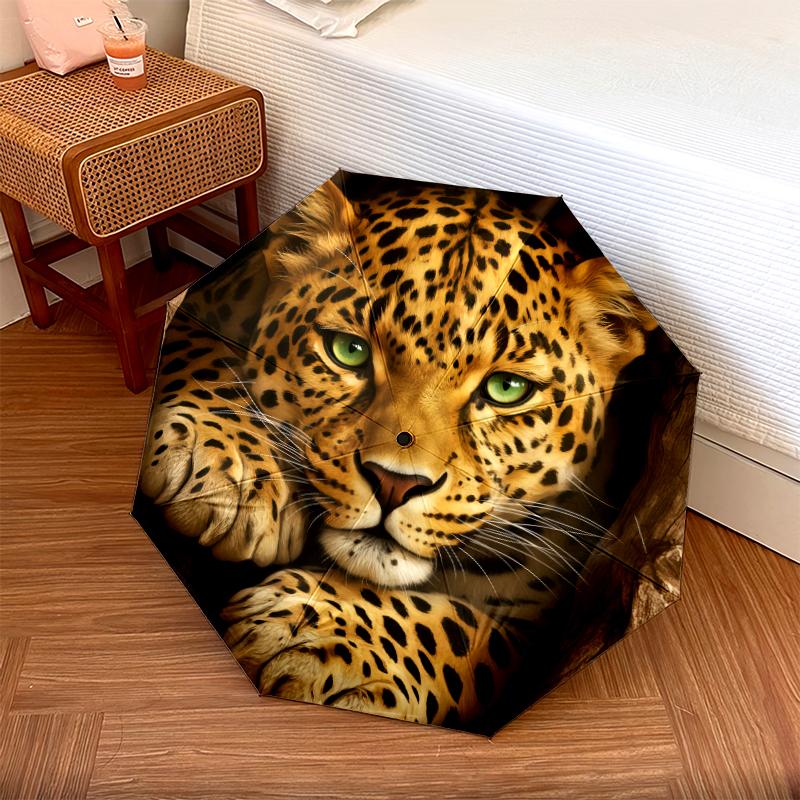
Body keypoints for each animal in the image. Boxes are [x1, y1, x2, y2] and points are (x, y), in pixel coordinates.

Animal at [138, 175, 656, 730]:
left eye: (508, 389)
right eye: (349, 351)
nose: (395, 484)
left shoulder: (529, 631)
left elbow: (456, 626)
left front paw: (317, 635)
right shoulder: (211, 300)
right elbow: (197, 346)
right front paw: (233, 471)